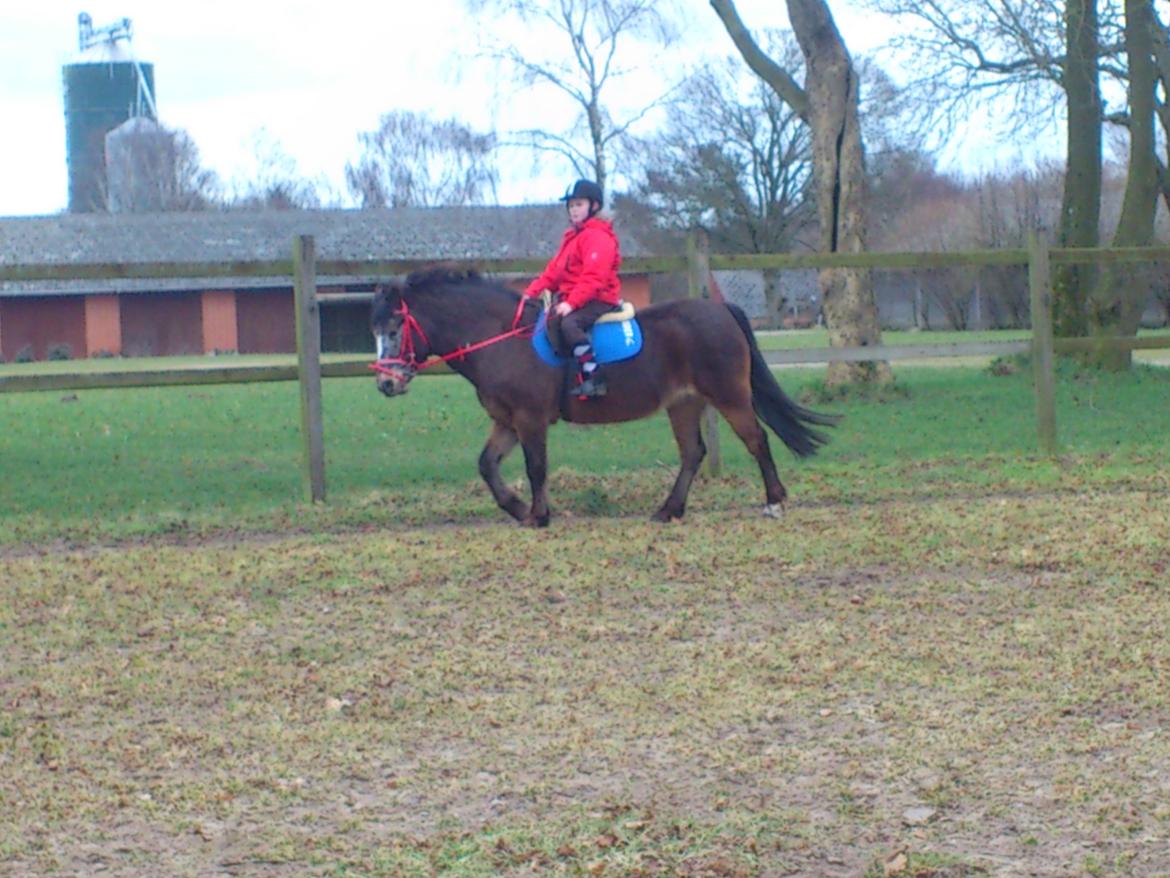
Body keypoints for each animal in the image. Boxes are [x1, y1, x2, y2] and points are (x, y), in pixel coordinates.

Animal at [369, 268, 837, 526]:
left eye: (394, 328)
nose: (386, 385)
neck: (502, 337)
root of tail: (721, 310)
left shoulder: (530, 419)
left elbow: (536, 467)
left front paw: (539, 515)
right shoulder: (507, 420)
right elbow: (487, 465)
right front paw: (517, 509)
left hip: (730, 395)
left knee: (756, 440)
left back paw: (773, 502)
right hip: (683, 402)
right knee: (693, 452)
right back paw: (669, 510)